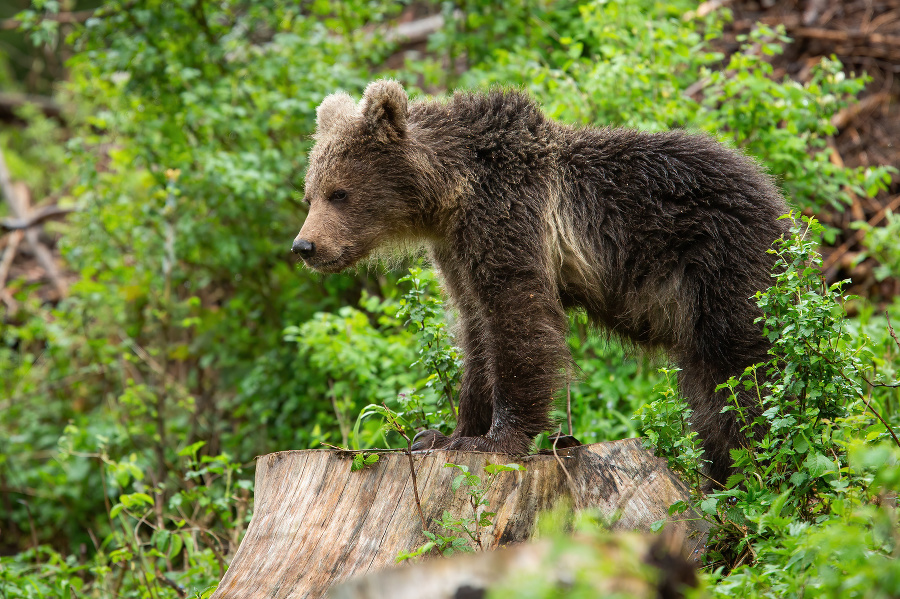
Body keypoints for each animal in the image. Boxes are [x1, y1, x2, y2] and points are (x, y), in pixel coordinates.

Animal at [296, 79, 788, 486]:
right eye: (311, 193)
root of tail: (775, 196)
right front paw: (442, 434)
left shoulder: (510, 219)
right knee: (708, 391)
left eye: (340, 192)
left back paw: (757, 466)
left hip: (720, 267)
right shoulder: (457, 253)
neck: (453, 193)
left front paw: (495, 439)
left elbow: (519, 322)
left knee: (743, 370)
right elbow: (477, 332)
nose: (305, 246)